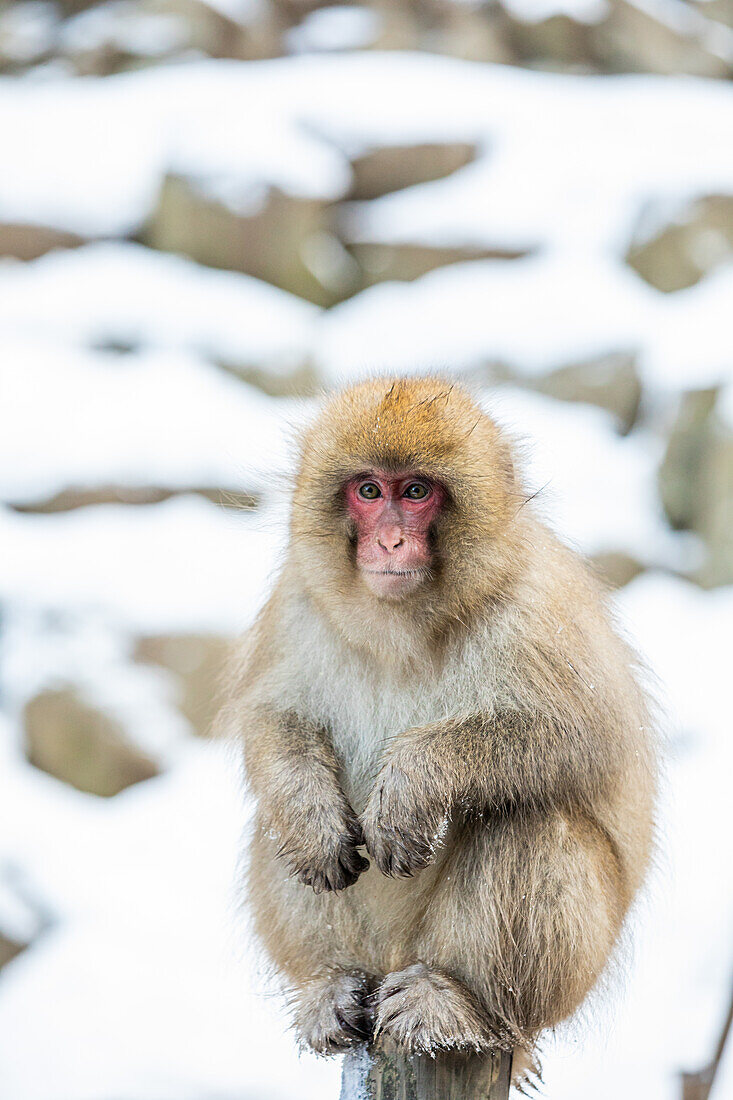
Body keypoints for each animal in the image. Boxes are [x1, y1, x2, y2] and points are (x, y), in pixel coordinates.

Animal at [225, 374, 651, 1078]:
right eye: (370, 491)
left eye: (418, 492)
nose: (391, 542)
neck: (405, 624)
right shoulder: (299, 600)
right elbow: (273, 717)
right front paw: (312, 817)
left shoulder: (534, 604)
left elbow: (582, 735)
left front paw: (412, 781)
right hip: (376, 955)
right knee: (277, 829)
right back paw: (330, 985)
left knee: (530, 819)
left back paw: (460, 1005)